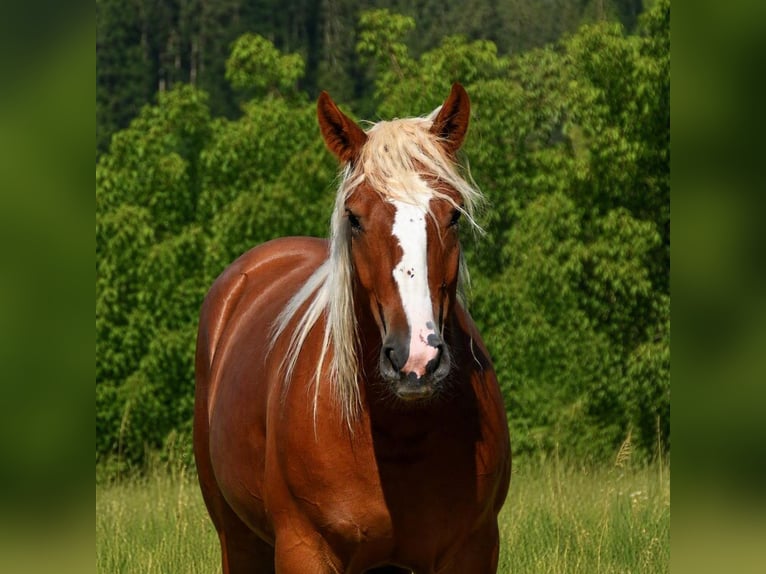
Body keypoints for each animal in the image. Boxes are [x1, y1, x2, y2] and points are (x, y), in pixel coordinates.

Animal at [194, 83, 511, 573]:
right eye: (355, 218)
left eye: (454, 214)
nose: (416, 359)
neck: (395, 433)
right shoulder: (304, 550)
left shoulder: (473, 550)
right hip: (238, 539)